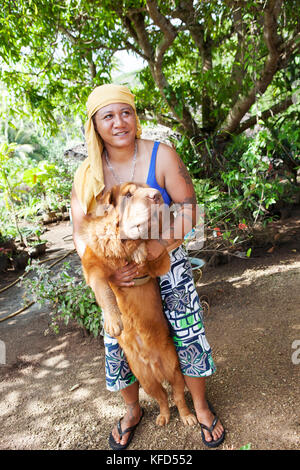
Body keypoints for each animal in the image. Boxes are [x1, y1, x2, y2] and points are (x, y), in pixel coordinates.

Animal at [81, 183, 196, 426]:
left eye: (149, 188)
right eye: (128, 194)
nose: (157, 195)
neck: (124, 244)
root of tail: (153, 364)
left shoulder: (160, 261)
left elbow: (151, 245)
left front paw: (141, 248)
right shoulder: (93, 269)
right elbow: (105, 292)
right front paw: (114, 322)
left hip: (174, 370)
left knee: (178, 397)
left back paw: (188, 416)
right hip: (146, 380)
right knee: (162, 399)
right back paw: (163, 417)